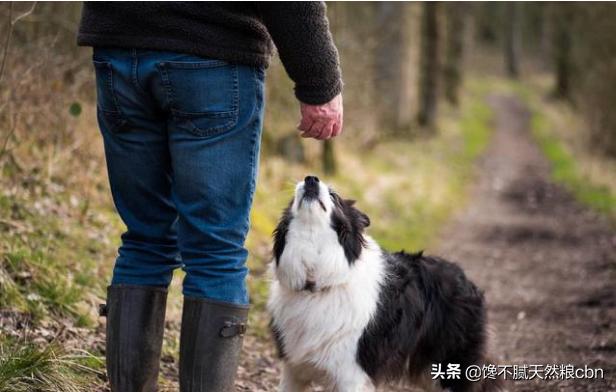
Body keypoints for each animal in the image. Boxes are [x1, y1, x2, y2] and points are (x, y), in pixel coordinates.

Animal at [266, 176, 500, 390]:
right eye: (293, 199)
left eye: (333, 195)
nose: (311, 179)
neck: (316, 280)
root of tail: (466, 279)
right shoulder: (293, 369)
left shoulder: (352, 374)